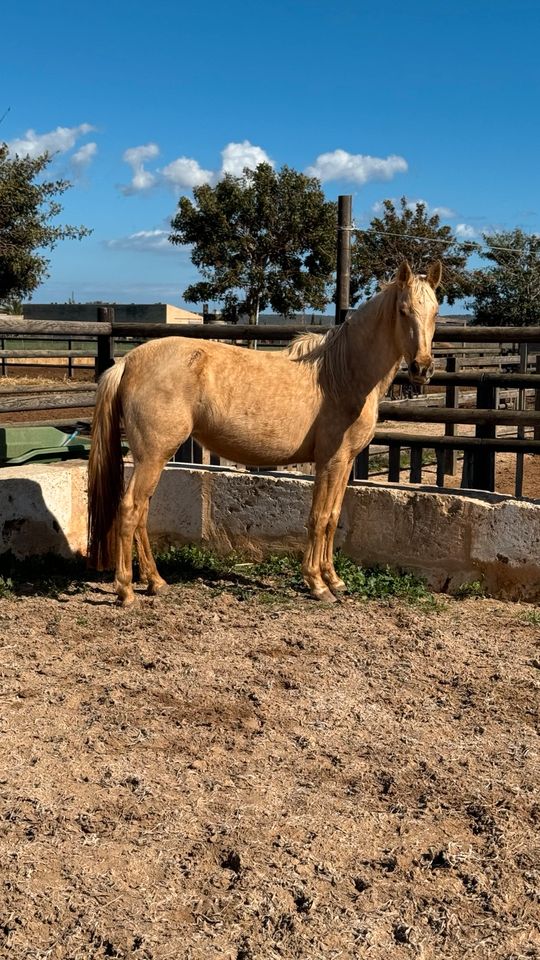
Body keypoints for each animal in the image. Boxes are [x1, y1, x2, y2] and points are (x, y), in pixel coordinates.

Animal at [88, 258, 440, 604]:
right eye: (403, 310)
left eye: (435, 312)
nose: (422, 368)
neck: (341, 373)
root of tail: (128, 362)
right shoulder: (331, 461)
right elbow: (318, 517)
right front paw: (317, 584)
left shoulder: (345, 462)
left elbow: (333, 516)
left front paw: (334, 580)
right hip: (153, 455)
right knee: (130, 509)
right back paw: (126, 590)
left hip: (153, 458)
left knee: (143, 512)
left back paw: (156, 582)